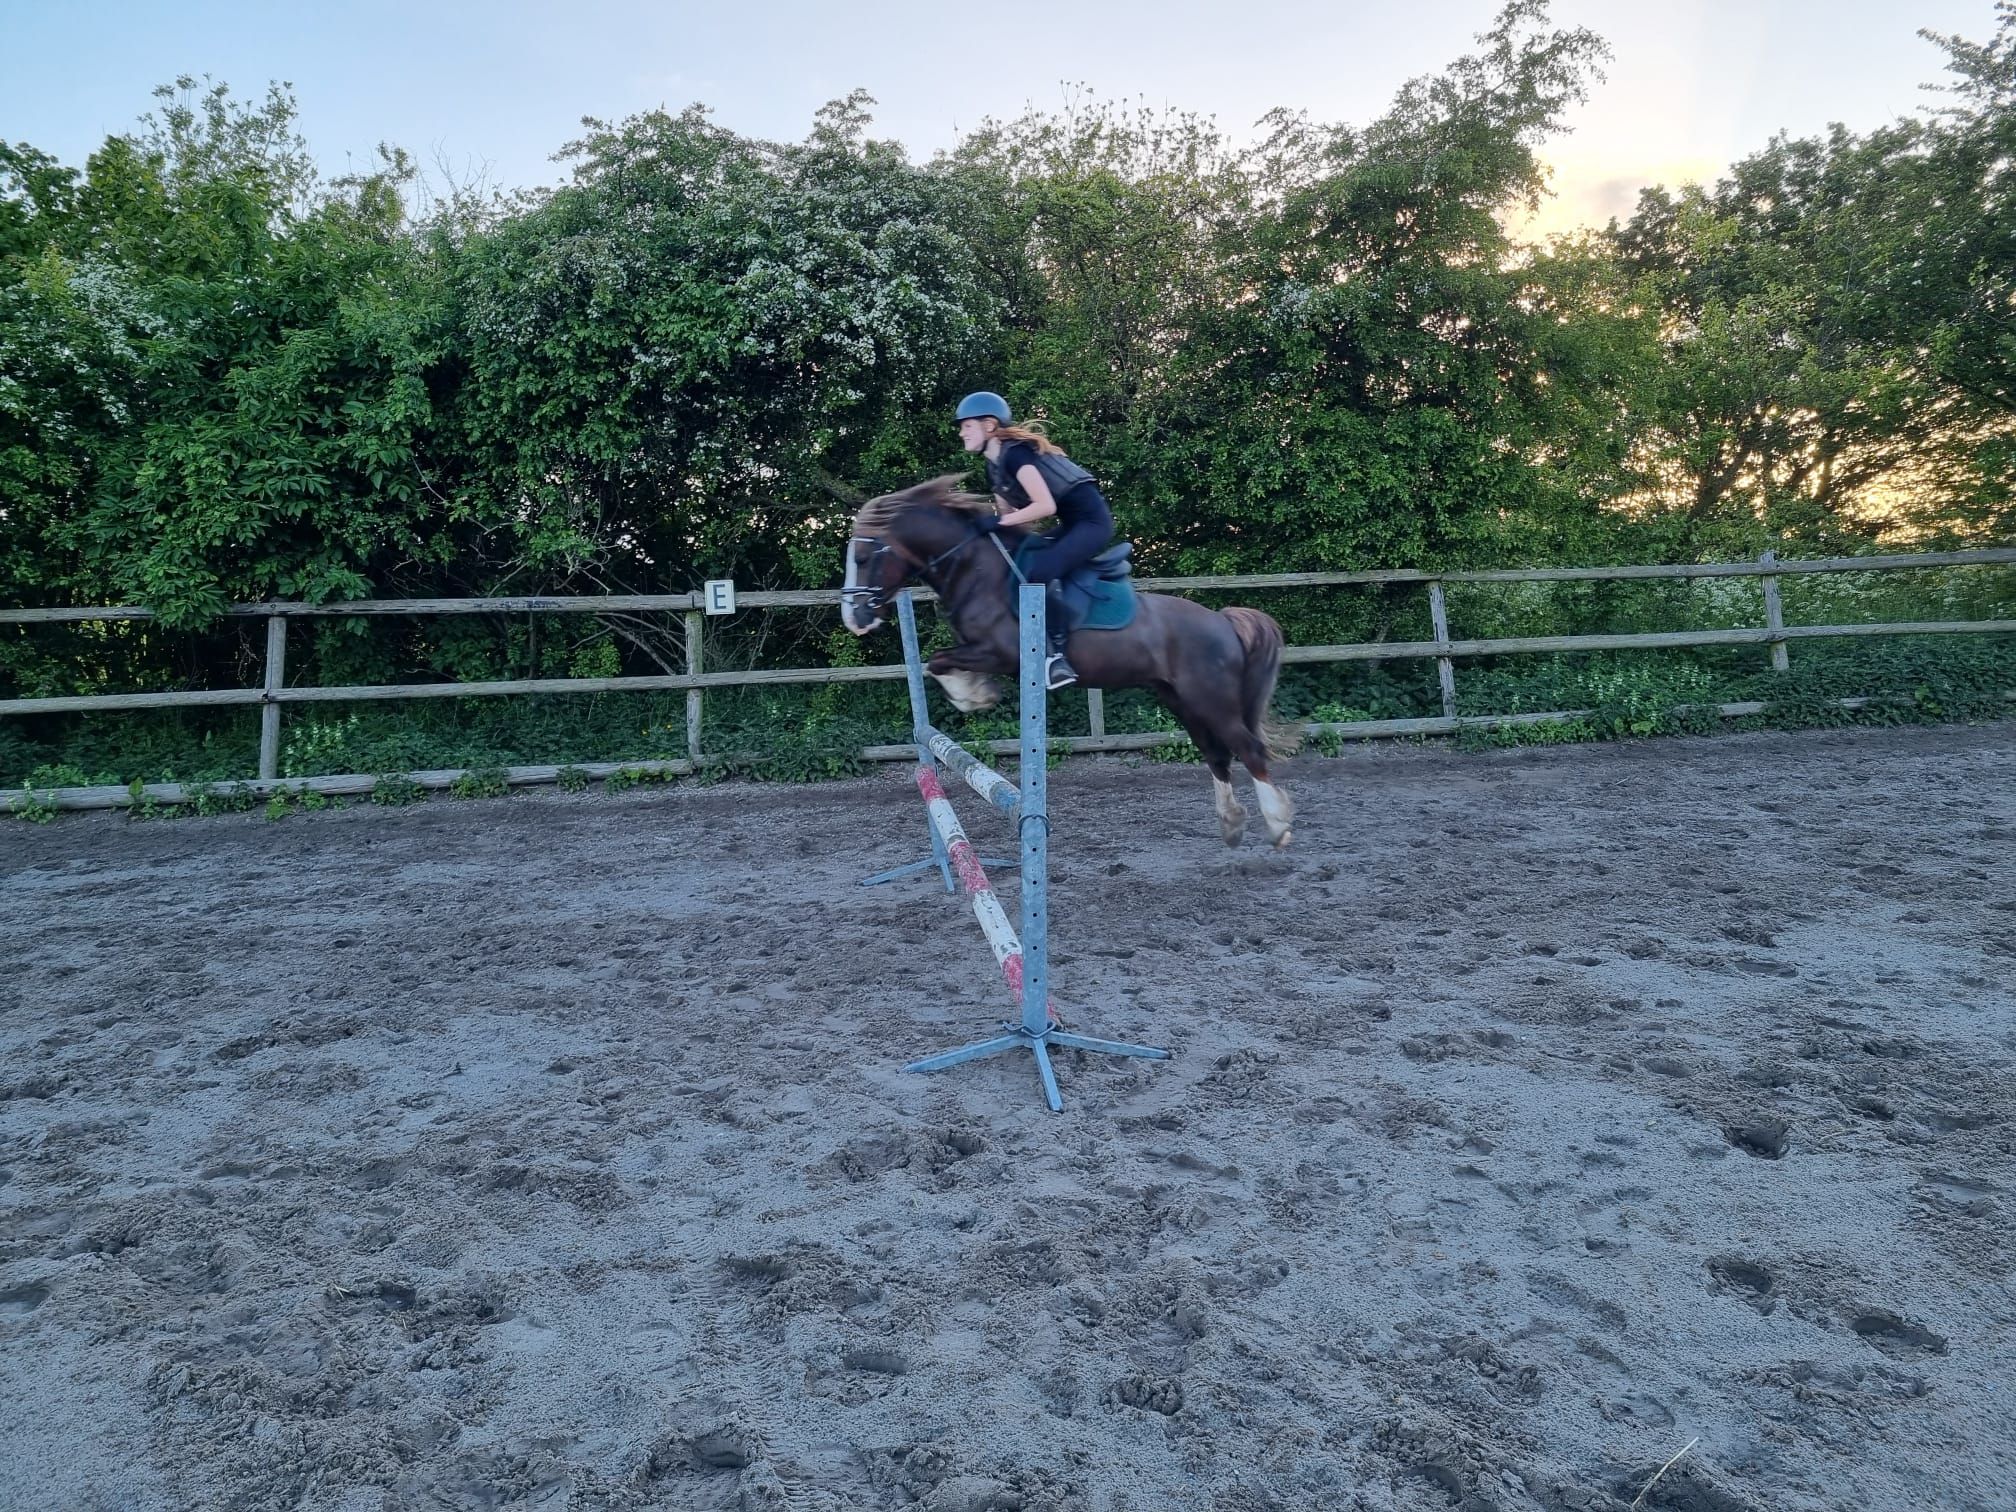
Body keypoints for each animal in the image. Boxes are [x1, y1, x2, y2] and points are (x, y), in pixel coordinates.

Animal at [840, 476, 1296, 849]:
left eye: (862, 559)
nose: (855, 619)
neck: (974, 568)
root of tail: (1222, 620)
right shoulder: (977, 649)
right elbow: (939, 663)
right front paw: (975, 694)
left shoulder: (1002, 652)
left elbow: (938, 661)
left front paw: (973, 696)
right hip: (1181, 699)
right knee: (1216, 754)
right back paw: (1232, 824)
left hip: (1210, 699)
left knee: (1249, 749)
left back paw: (1276, 826)